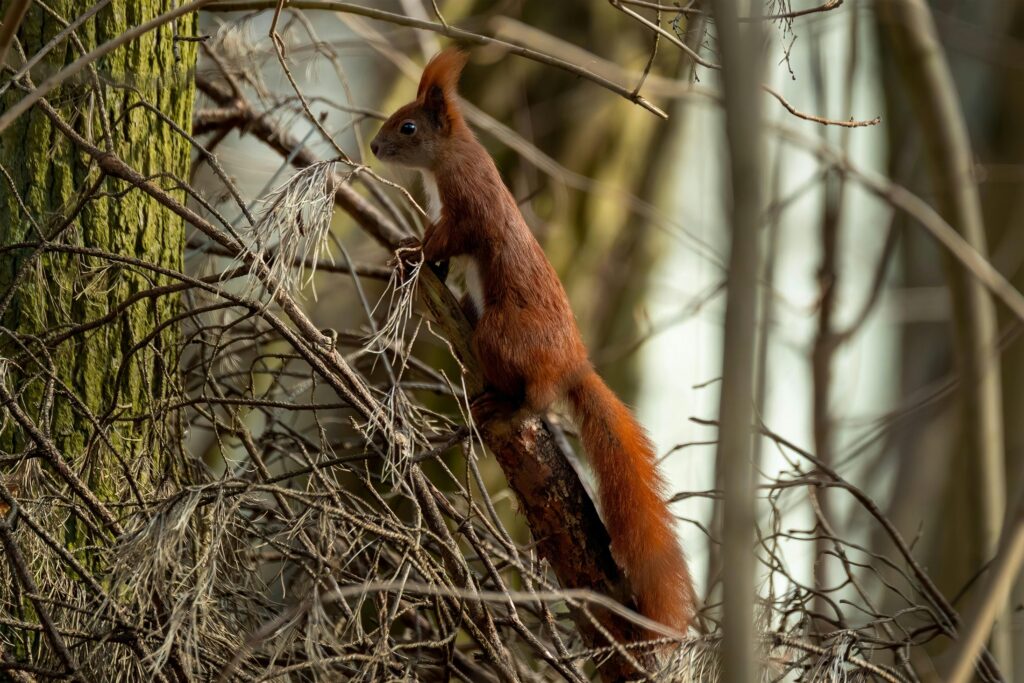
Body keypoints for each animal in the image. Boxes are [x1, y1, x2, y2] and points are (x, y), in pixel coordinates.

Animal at [370, 48, 695, 636]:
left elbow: (448, 238)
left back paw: (505, 403)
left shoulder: (469, 208)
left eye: (408, 126)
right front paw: (417, 258)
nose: (374, 147)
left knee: (537, 398)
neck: (449, 159)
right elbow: (441, 256)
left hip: (503, 335)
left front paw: (411, 250)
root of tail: (573, 364)